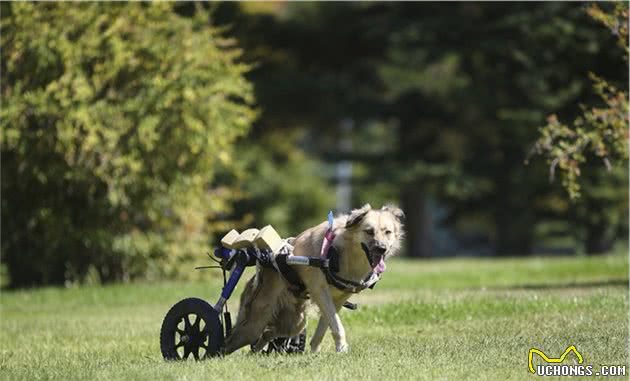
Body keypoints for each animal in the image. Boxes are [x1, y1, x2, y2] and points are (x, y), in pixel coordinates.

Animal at [225, 203, 408, 352]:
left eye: (388, 232)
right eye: (369, 231)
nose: (382, 248)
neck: (341, 253)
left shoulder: (338, 299)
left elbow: (325, 326)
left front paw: (315, 352)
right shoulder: (321, 292)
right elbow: (336, 325)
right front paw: (342, 349)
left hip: (295, 324)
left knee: (267, 334)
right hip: (254, 323)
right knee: (230, 341)